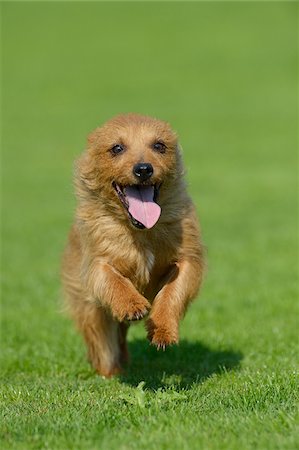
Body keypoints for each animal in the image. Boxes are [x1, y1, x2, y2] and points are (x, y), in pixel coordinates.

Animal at [62, 112, 205, 376]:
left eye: (159, 145)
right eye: (117, 148)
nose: (143, 169)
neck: (141, 232)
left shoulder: (188, 259)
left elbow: (173, 291)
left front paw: (163, 329)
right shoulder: (95, 262)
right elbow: (111, 278)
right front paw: (132, 304)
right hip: (90, 310)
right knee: (103, 343)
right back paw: (111, 372)